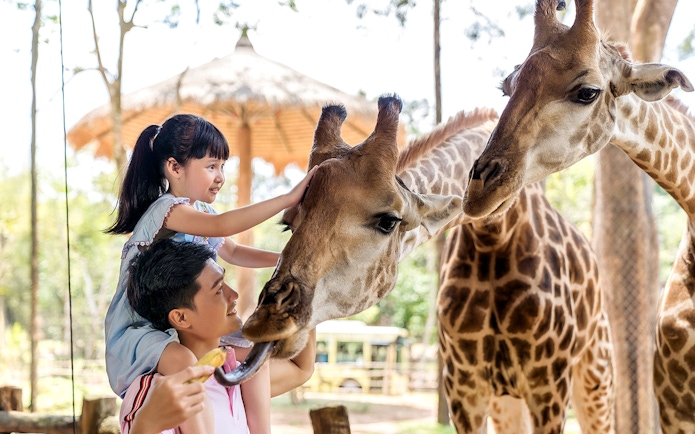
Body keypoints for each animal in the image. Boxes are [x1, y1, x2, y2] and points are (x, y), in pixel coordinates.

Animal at [226, 94, 615, 433]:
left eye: (388, 221)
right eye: (287, 223)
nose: (265, 321)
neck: (496, 234)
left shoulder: (547, 386)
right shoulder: (464, 387)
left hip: (594, 379)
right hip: (508, 400)